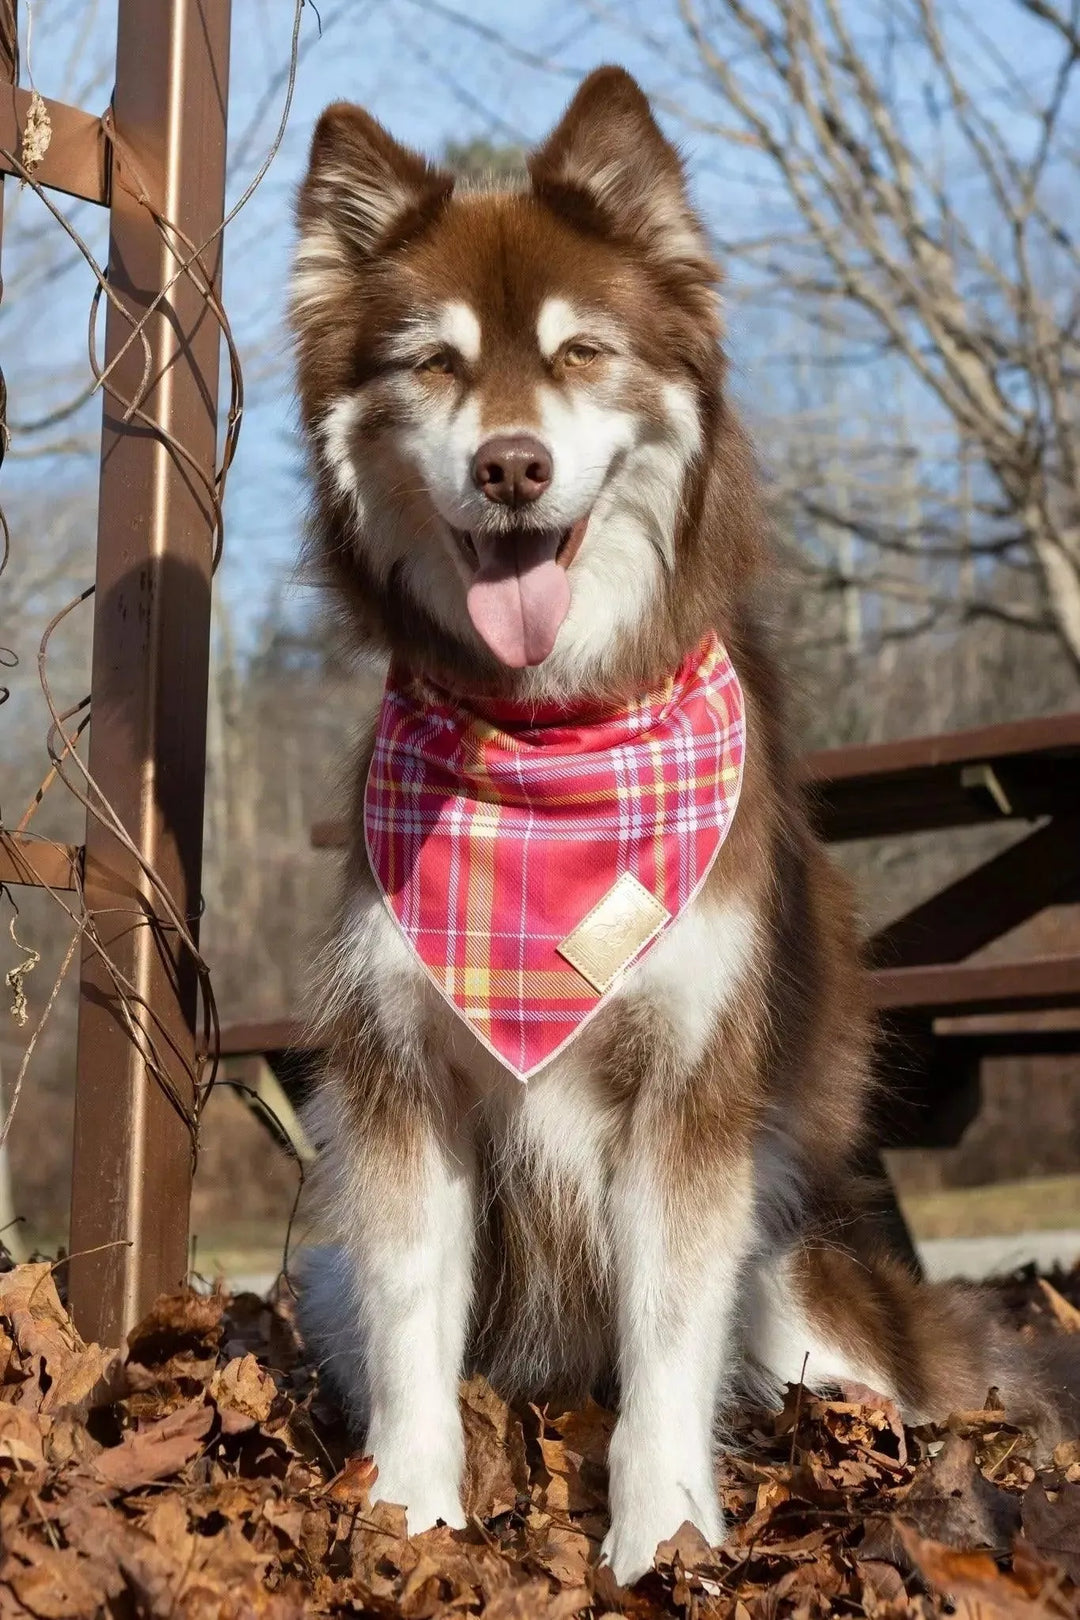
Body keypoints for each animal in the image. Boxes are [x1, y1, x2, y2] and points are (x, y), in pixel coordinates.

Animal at [286, 69, 1075, 1587]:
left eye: (583, 352)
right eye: (433, 365)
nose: (513, 468)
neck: (552, 742)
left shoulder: (694, 1093)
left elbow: (665, 1352)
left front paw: (661, 1540)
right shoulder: (402, 1082)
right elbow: (415, 1333)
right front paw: (413, 1520)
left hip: (800, 1283)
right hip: (319, 1267)